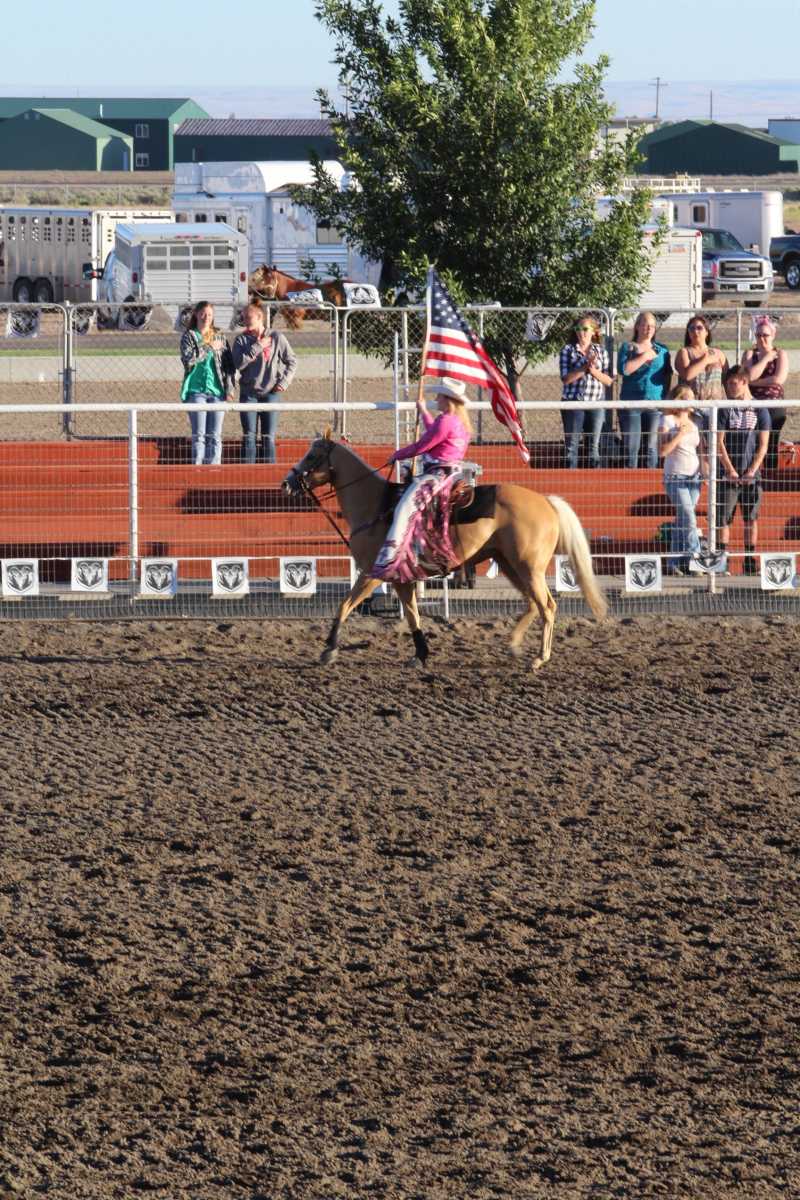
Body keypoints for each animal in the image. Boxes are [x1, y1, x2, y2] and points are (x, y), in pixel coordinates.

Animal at [283, 433, 607, 670]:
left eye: (312, 455)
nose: (287, 482)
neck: (377, 506)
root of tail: (546, 502)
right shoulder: (401, 580)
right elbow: (412, 616)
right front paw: (420, 654)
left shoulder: (372, 573)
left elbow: (344, 606)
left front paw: (329, 650)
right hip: (509, 564)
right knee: (532, 604)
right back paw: (514, 645)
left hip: (528, 567)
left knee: (547, 606)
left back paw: (540, 658)